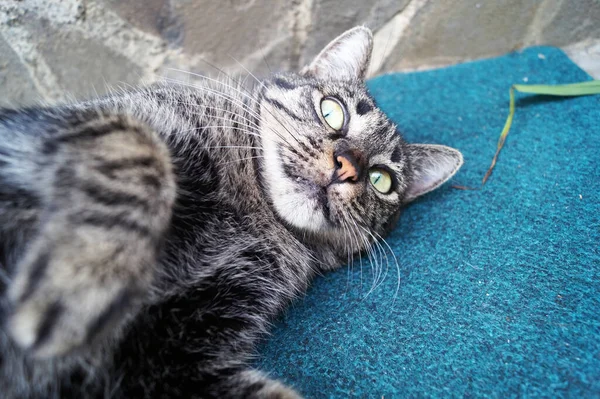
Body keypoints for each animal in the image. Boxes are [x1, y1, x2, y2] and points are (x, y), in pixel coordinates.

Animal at [0, 26, 464, 398]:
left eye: (382, 180)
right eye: (332, 110)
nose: (347, 165)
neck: (255, 209)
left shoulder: (172, 360)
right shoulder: (112, 117)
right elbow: (135, 148)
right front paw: (82, 275)